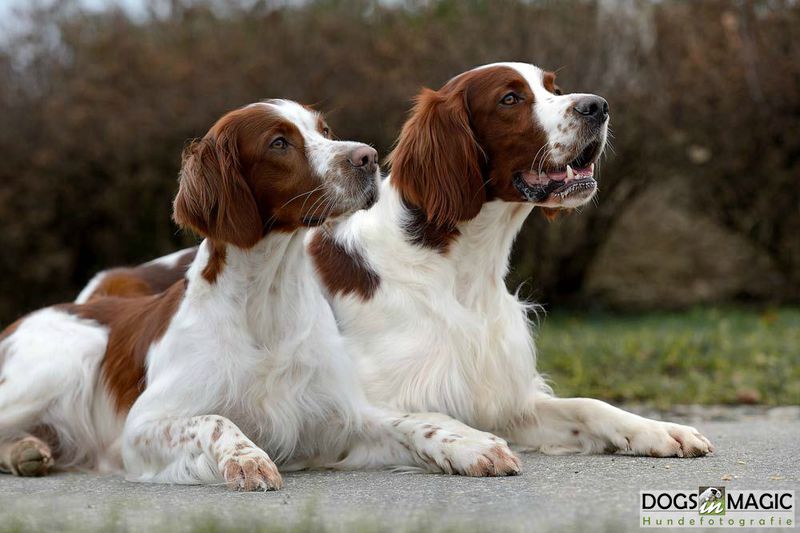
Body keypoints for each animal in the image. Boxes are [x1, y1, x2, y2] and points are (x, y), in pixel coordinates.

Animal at [0, 99, 520, 488]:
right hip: (67, 357)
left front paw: (473, 445)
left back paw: (28, 450)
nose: (369, 157)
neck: (267, 302)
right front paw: (246, 459)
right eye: (279, 143)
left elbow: (412, 419)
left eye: (324, 129)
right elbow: (215, 420)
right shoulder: (143, 428)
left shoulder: (335, 421)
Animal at [74, 63, 714, 458]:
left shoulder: (500, 396)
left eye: (553, 86)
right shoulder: (383, 396)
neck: (458, 273)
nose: (598, 106)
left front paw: (661, 430)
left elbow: (591, 406)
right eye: (511, 98)